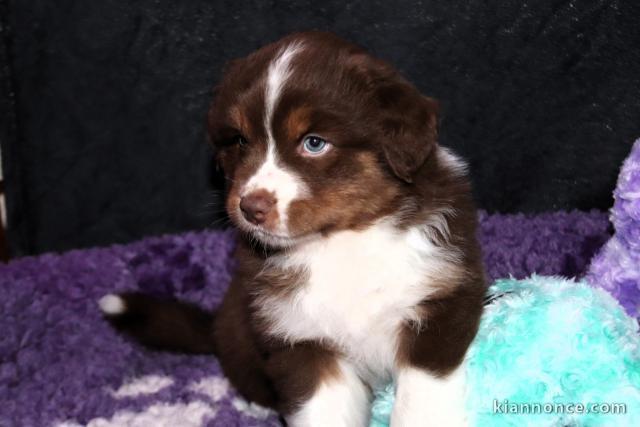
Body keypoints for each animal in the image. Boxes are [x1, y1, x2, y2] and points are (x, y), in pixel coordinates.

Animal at [102, 31, 488, 426]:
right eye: (240, 140)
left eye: (314, 143)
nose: (250, 207)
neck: (341, 240)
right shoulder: (299, 337)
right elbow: (324, 411)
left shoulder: (439, 300)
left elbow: (420, 400)